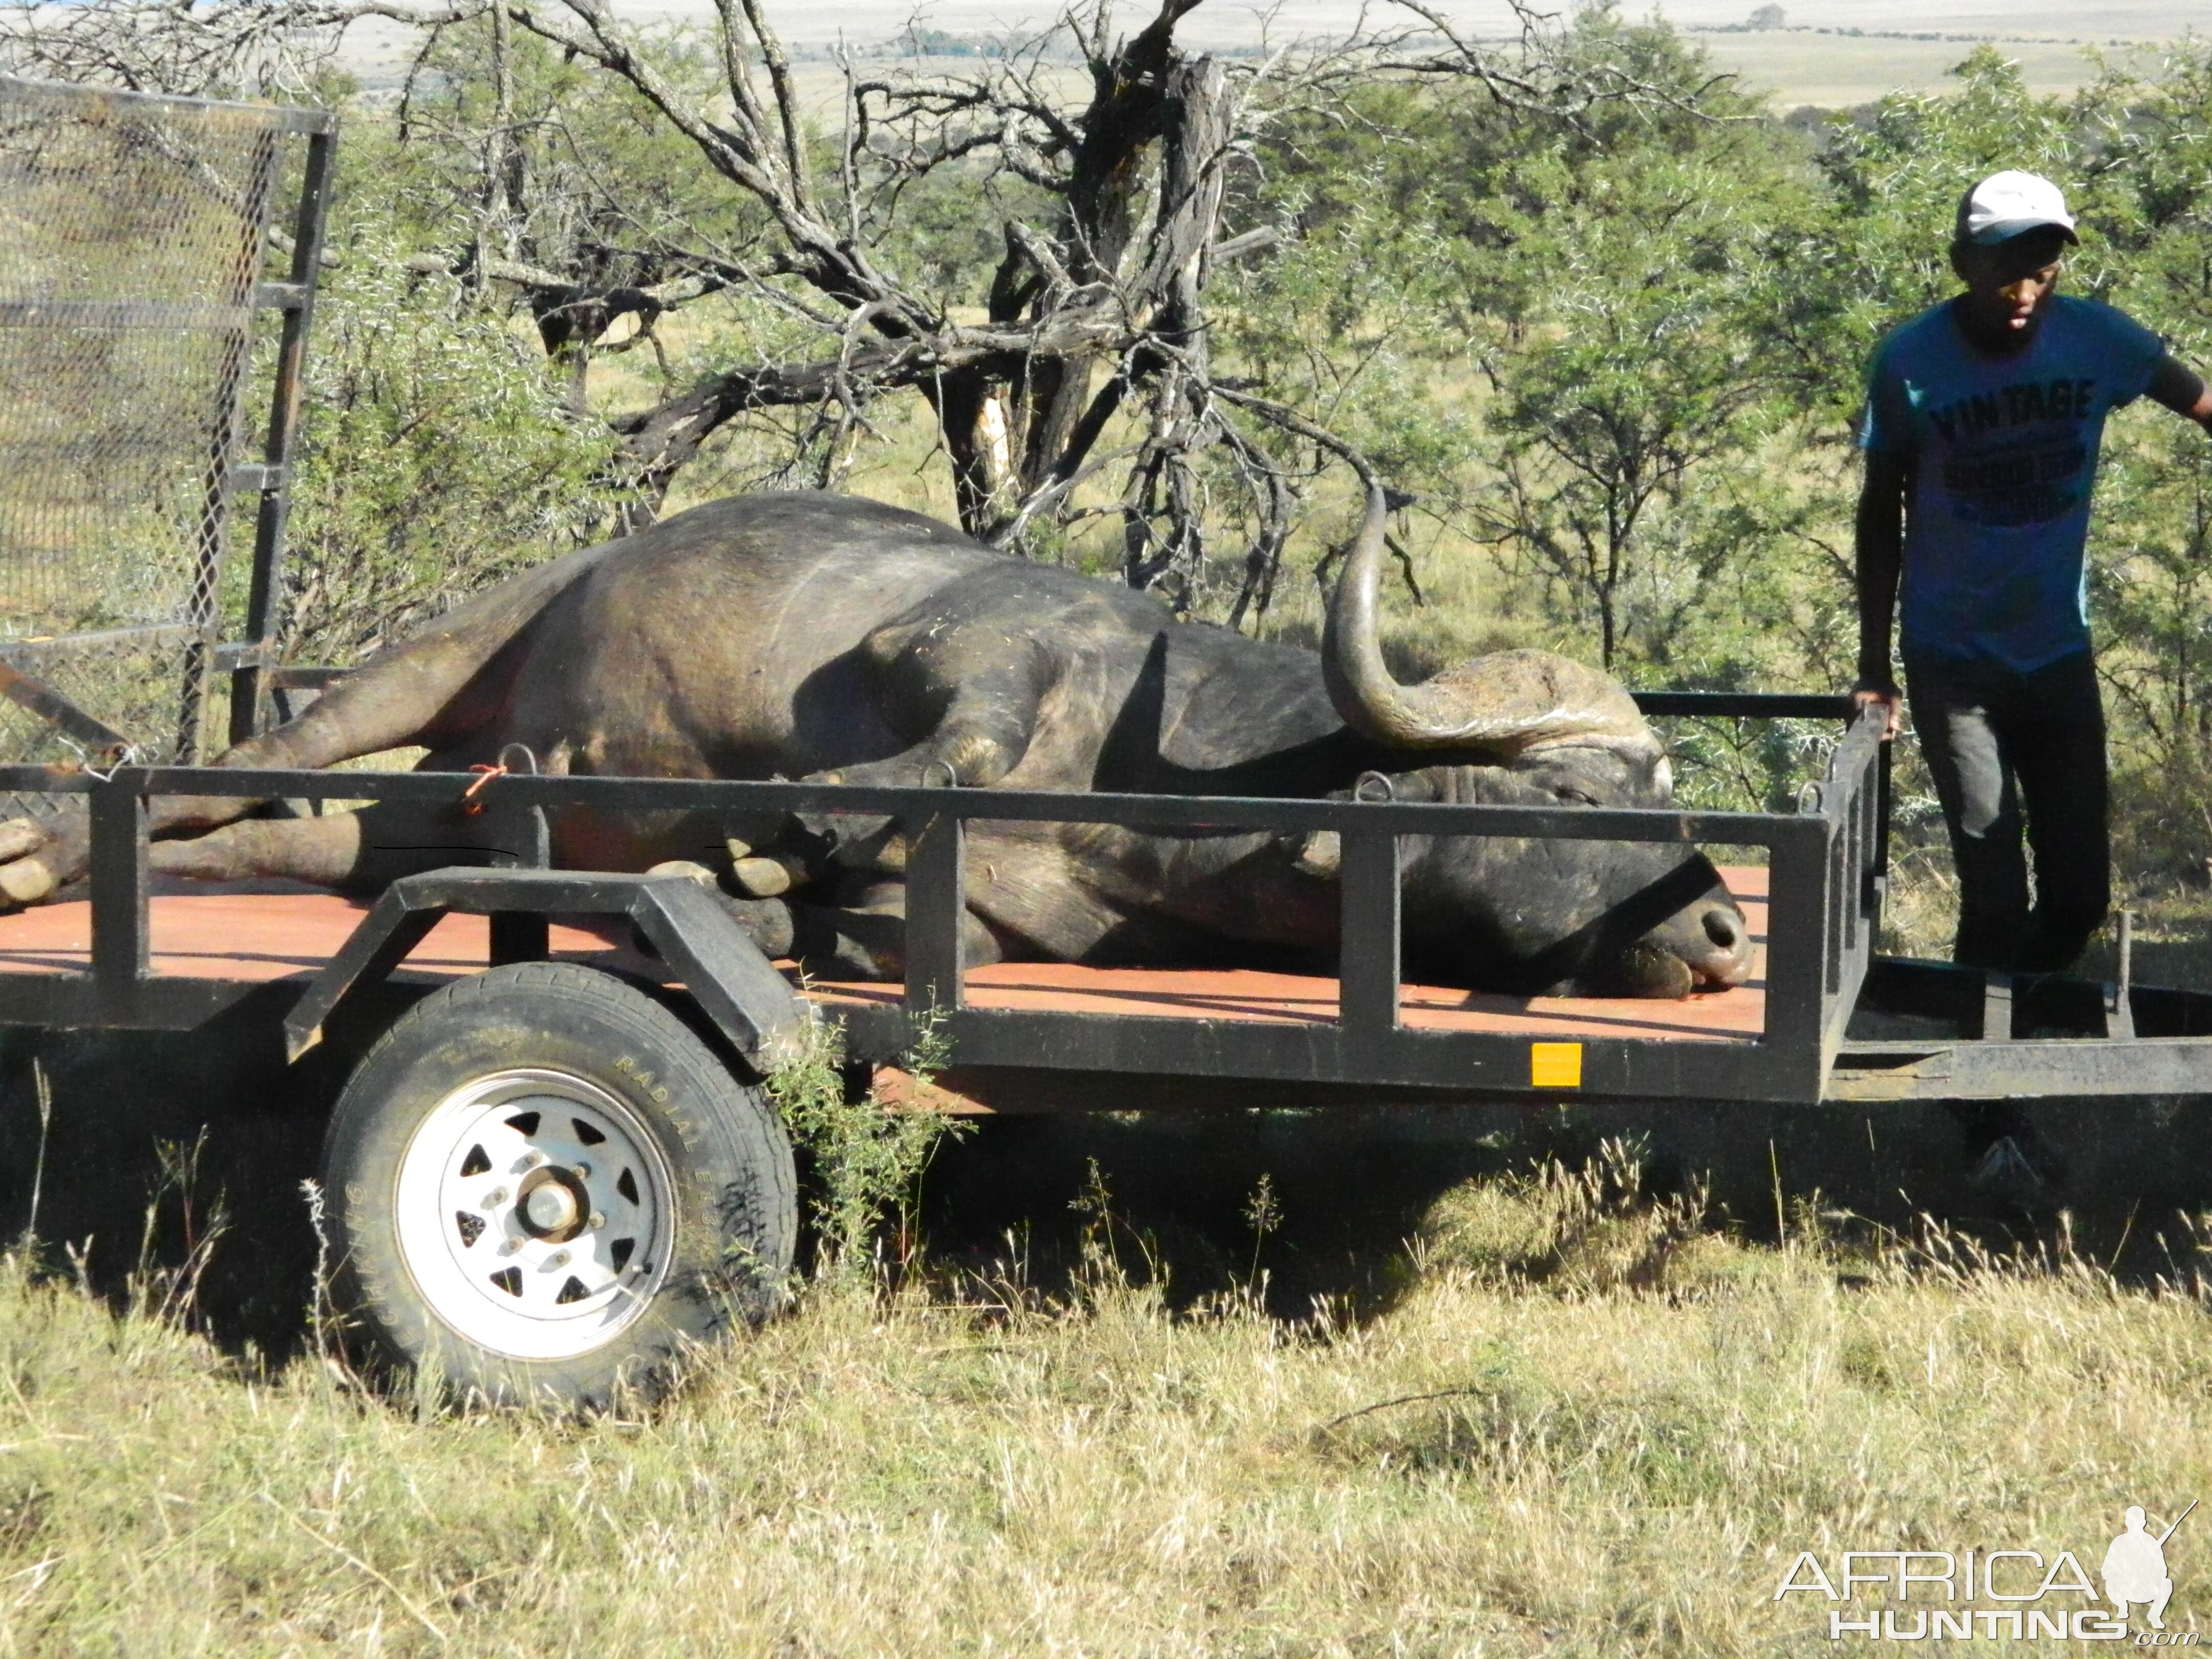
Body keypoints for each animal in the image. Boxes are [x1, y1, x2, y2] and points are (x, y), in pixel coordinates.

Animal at [0, 486, 1752, 995]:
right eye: (1585, 792)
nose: (1727, 930)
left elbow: (887, 916)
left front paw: (771, 893)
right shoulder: (970, 653)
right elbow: (950, 752)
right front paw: (796, 826)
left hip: (431, 810)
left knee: (278, 832)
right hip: (444, 655)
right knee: (248, 754)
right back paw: (39, 837)